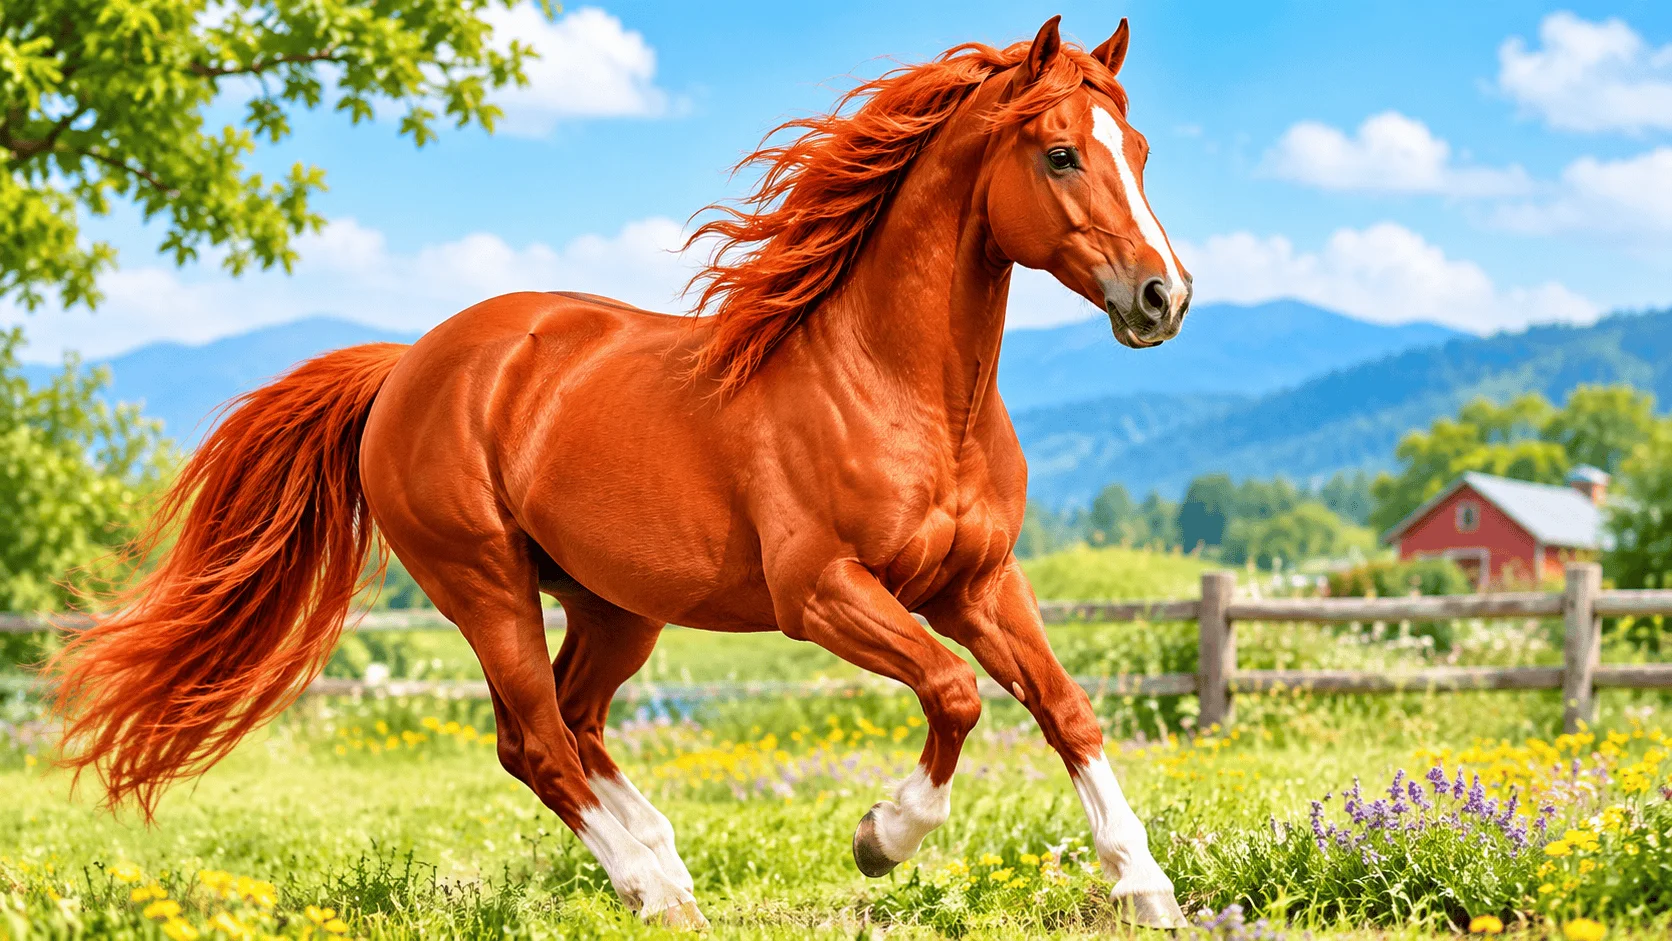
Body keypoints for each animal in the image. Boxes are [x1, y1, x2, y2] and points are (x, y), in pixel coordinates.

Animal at [49, 16, 1193, 929]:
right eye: (1059, 153)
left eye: (1136, 148)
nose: (1162, 296)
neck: (899, 389)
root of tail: (407, 365)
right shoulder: (821, 591)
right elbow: (955, 693)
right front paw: (881, 836)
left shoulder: (977, 581)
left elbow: (1066, 707)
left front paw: (1147, 888)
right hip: (486, 586)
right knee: (536, 741)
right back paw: (653, 887)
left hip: (614, 604)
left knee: (576, 719)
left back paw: (665, 862)